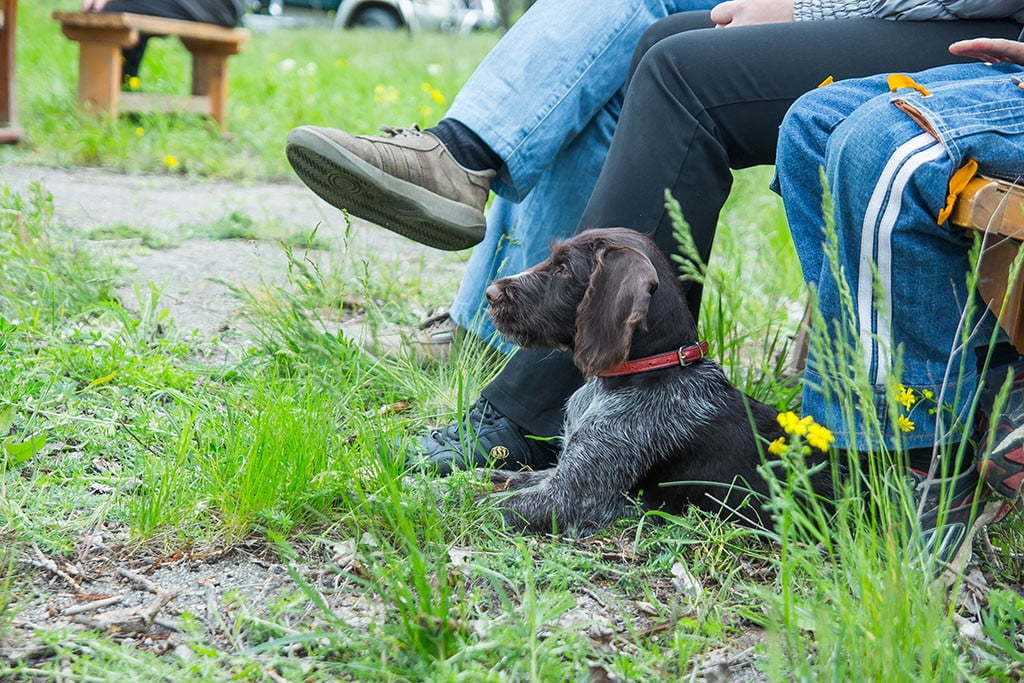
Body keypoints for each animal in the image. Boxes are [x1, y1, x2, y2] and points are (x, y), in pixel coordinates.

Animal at [481, 227, 831, 536]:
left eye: (564, 269)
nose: (490, 293)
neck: (644, 371)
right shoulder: (563, 472)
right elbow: (508, 478)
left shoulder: (569, 499)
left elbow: (491, 505)